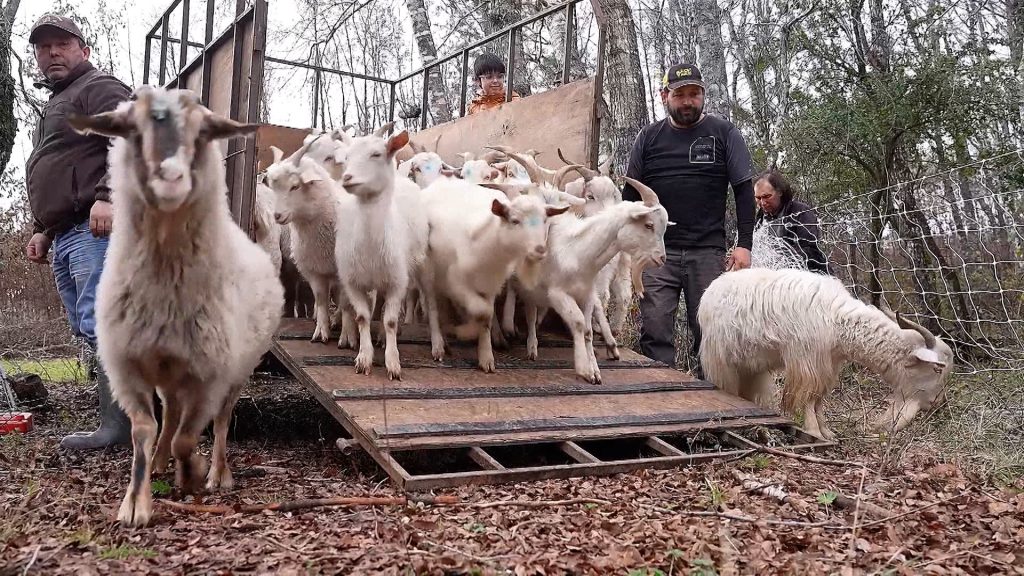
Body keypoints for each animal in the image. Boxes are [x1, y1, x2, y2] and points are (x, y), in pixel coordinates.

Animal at [69, 86, 284, 524]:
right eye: (132, 129)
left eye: (203, 134)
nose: (170, 179)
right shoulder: (128, 367)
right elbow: (143, 430)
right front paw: (136, 501)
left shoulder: (208, 374)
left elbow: (189, 437)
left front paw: (193, 473)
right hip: (169, 371)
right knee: (168, 415)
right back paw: (159, 461)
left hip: (238, 369)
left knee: (220, 421)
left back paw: (217, 473)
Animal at [700, 266, 954, 438]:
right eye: (937, 368)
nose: (938, 404)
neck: (837, 320)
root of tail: (710, 290)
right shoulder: (807, 361)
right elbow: (809, 397)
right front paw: (814, 431)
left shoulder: (828, 364)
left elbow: (820, 398)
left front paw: (826, 431)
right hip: (721, 360)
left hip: (752, 366)